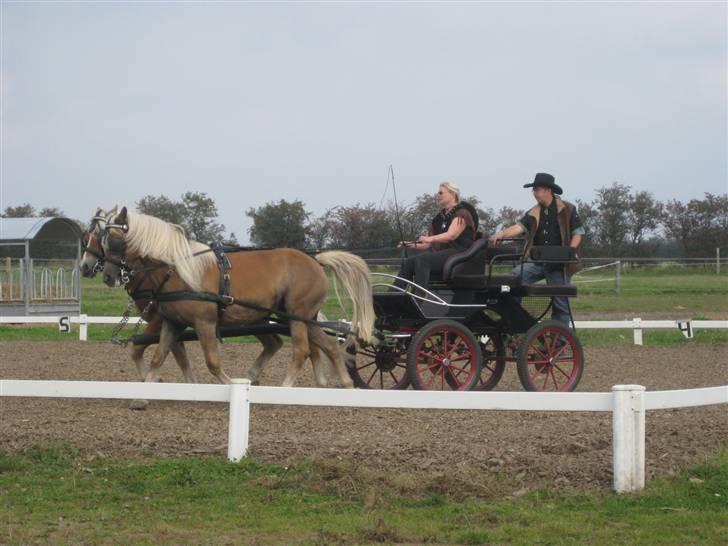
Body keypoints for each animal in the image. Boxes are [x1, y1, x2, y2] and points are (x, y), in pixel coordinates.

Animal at [97, 205, 372, 386]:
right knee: (329, 346)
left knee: (301, 351)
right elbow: (157, 358)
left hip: (297, 316)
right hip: (303, 317)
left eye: (116, 241)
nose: (108, 275)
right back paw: (345, 384)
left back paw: (285, 388)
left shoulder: (204, 322)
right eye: (102, 239)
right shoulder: (171, 322)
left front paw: (231, 384)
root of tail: (315, 260)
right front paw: (143, 396)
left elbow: (212, 362)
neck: (180, 270)